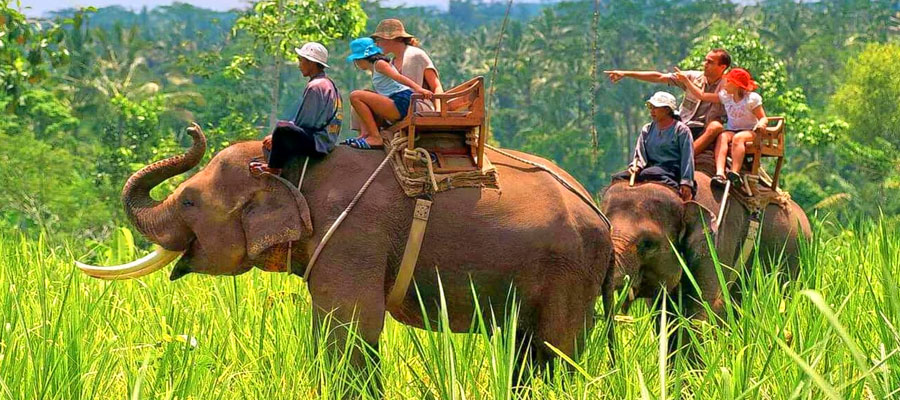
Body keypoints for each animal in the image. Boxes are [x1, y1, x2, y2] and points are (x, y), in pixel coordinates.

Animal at [77, 124, 613, 384]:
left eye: (189, 201)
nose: (191, 130)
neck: (295, 166)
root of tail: (601, 218)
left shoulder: (354, 234)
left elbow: (352, 324)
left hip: (569, 271)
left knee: (553, 350)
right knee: (529, 349)